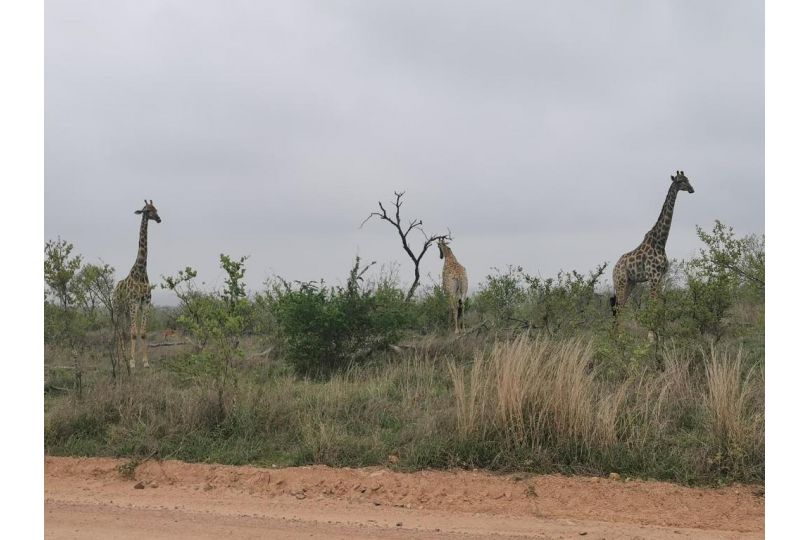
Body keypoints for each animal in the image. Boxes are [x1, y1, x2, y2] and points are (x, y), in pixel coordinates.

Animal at [113, 200, 161, 370]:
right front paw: (133, 362)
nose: (159, 219)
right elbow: (134, 333)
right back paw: (120, 360)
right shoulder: (134, 302)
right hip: (118, 309)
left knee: (125, 331)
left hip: (127, 311)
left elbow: (143, 332)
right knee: (118, 331)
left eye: (156, 209)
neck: (141, 269)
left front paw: (145, 361)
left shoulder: (145, 303)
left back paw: (124, 358)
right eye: (147, 210)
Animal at [612, 170, 696, 320]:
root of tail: (613, 269)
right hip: (620, 281)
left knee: (621, 307)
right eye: (680, 181)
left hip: (631, 282)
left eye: (688, 179)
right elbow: (653, 305)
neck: (661, 242)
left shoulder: (660, 276)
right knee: (618, 307)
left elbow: (661, 304)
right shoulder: (653, 276)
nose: (692, 189)